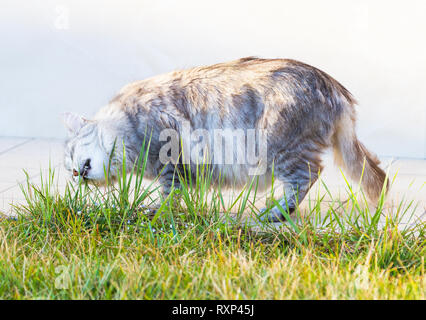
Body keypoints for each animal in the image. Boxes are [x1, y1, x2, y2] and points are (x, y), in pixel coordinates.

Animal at [61, 57, 388, 221]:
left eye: (72, 156)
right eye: (70, 171)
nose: (77, 174)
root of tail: (334, 87)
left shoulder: (170, 155)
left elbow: (168, 195)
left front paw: (157, 212)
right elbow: (181, 193)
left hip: (281, 146)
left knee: (307, 176)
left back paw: (276, 213)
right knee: (374, 172)